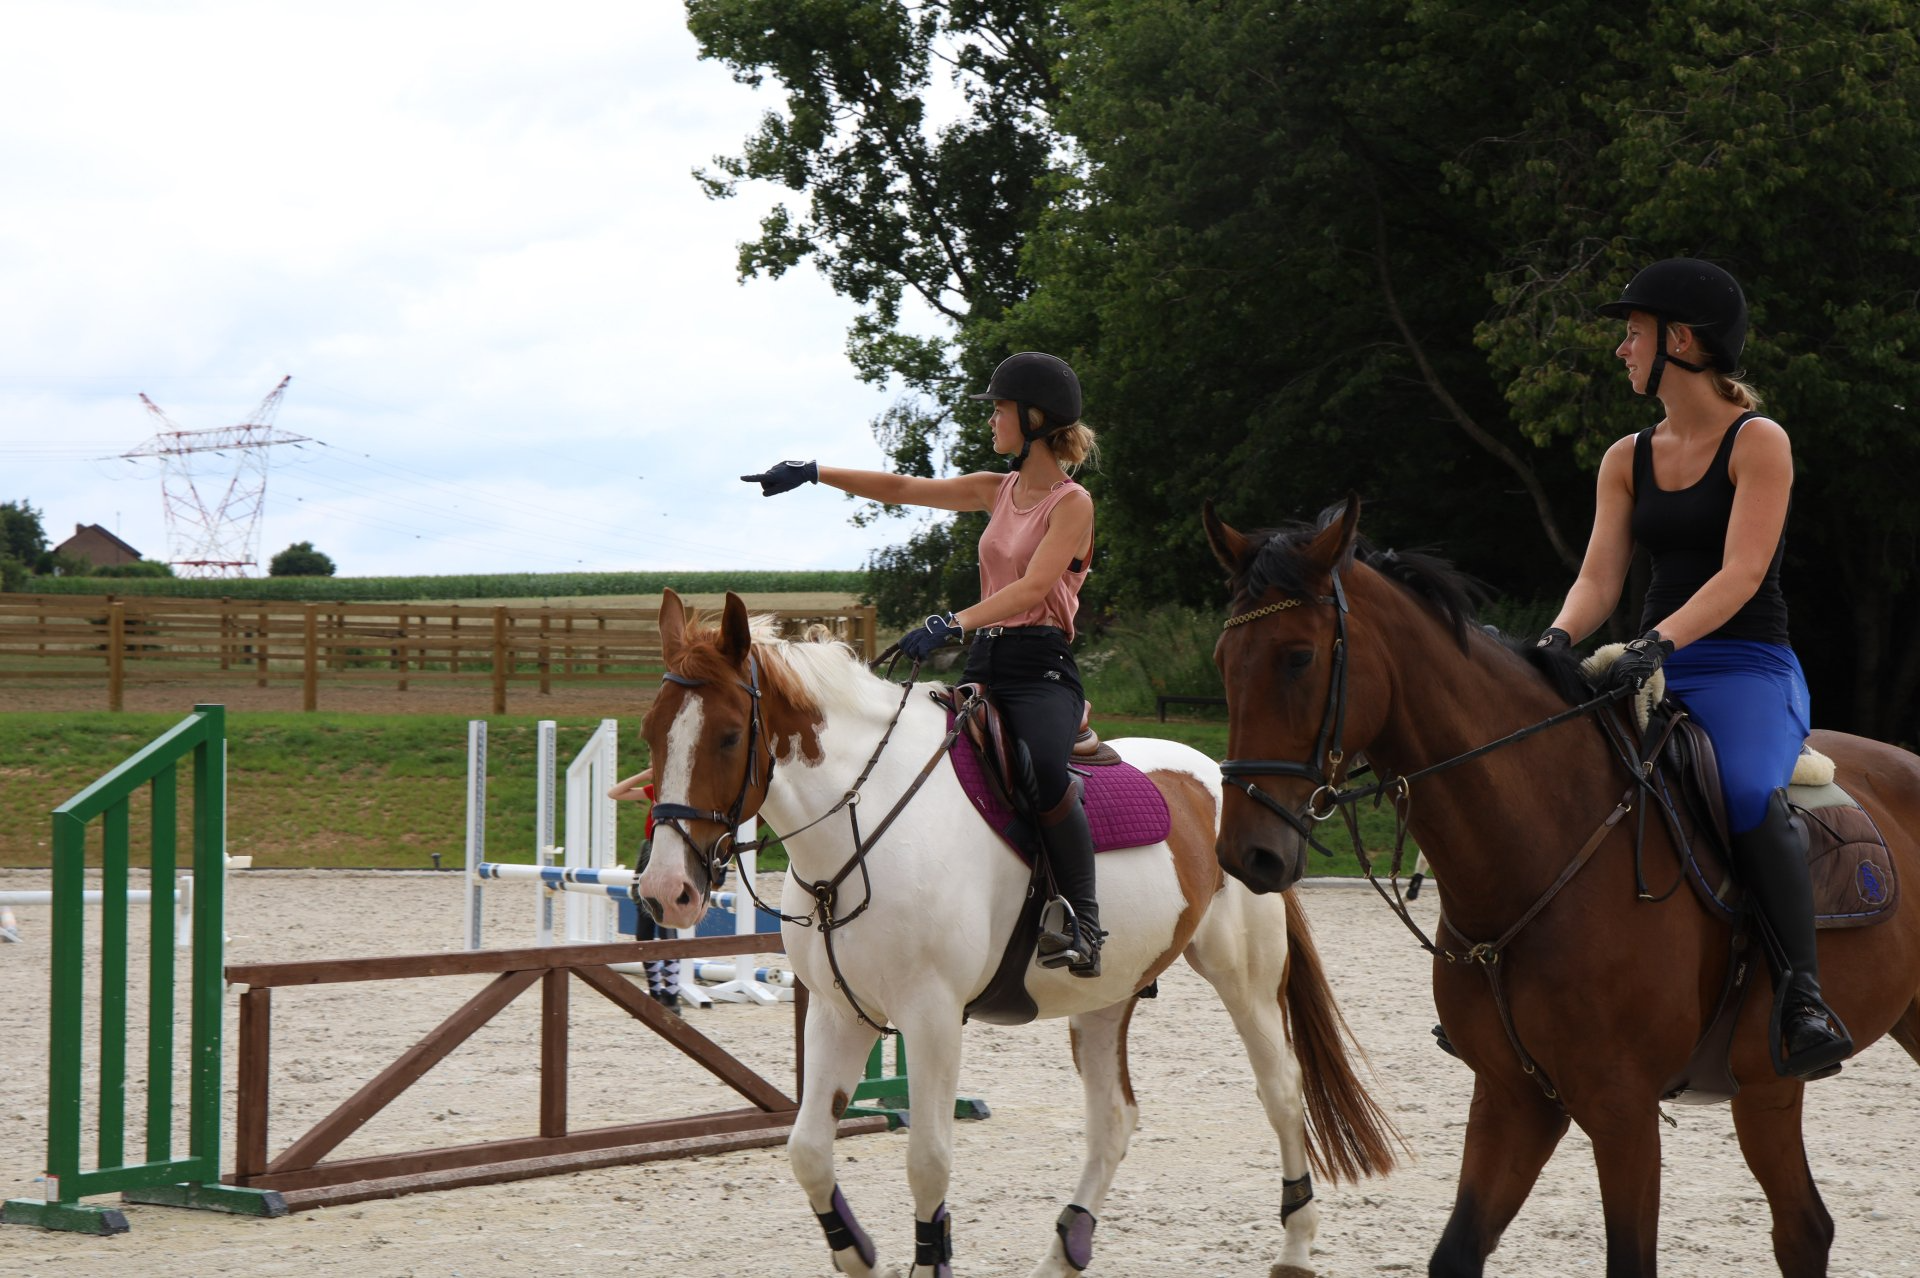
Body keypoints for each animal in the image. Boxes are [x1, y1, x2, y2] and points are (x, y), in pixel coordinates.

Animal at [636, 588, 1399, 1278]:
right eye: (649, 734)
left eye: (729, 736)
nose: (665, 892)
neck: (862, 820)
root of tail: (1230, 783)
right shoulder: (836, 1011)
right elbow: (809, 1152)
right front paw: (859, 1255)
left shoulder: (932, 1016)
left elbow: (928, 1162)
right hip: (1105, 998)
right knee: (1114, 1119)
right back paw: (1067, 1250)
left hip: (1245, 978)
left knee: (1282, 1090)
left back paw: (1295, 1247)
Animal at [1202, 496, 1920, 1278]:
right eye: (1224, 663)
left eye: (1299, 657)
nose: (1247, 854)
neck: (1538, 852)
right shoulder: (1514, 1095)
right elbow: (1457, 1251)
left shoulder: (1622, 1108)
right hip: (1767, 1084)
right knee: (1803, 1228)